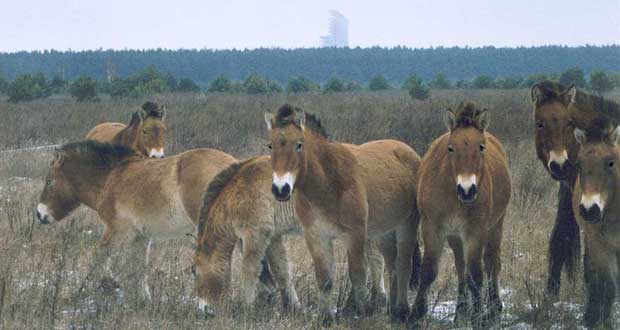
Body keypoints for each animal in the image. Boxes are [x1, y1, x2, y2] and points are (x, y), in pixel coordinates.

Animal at [35, 141, 237, 300]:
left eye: (50, 182)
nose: (39, 214)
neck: (111, 176)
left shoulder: (116, 230)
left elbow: (100, 258)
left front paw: (92, 288)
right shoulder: (141, 237)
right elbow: (139, 268)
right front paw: (143, 299)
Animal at [193, 156, 302, 316]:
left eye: (194, 272)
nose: (204, 310)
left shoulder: (255, 235)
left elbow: (249, 270)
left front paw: (246, 308)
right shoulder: (273, 238)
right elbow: (282, 271)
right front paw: (295, 307)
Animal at [262, 105, 422, 322]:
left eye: (299, 145)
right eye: (270, 145)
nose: (281, 189)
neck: (328, 184)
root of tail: (410, 152)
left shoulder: (354, 235)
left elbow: (357, 275)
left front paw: (362, 313)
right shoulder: (316, 237)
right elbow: (324, 278)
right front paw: (325, 317)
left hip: (407, 225)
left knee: (404, 263)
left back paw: (402, 310)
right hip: (384, 232)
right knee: (392, 264)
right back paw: (392, 309)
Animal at [410, 102, 512, 328]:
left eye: (481, 146)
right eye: (451, 147)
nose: (467, 190)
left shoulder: (476, 231)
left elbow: (476, 275)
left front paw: (478, 317)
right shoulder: (433, 228)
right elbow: (429, 270)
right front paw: (416, 314)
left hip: (496, 226)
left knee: (491, 263)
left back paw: (493, 309)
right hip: (455, 236)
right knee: (460, 266)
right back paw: (460, 310)